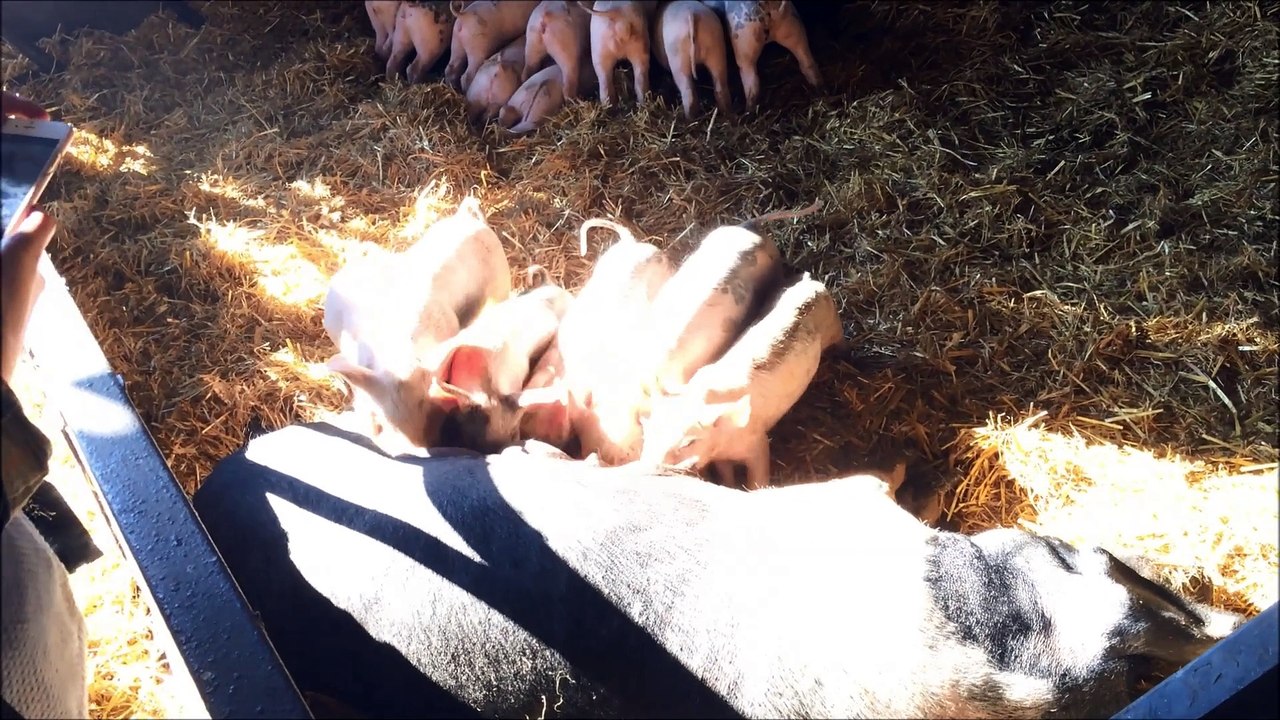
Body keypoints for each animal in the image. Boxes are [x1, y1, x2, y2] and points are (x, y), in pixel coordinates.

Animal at [639, 271, 842, 490]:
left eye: (689, 442)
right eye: (649, 432)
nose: (646, 469)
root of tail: (809, 281)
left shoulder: (758, 443)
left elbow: (757, 478)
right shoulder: (720, 457)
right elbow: (725, 474)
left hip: (834, 323)